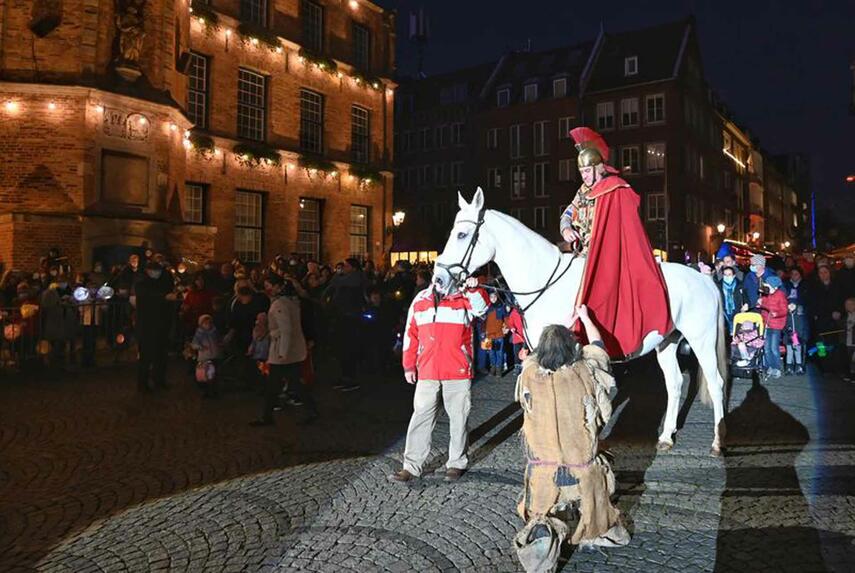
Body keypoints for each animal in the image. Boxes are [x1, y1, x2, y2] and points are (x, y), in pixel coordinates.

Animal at [434, 190, 728, 454]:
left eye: (462, 235)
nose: (438, 279)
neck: (543, 279)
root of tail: (704, 279)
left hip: (702, 340)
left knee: (716, 383)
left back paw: (717, 442)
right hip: (667, 341)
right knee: (675, 383)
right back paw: (666, 437)